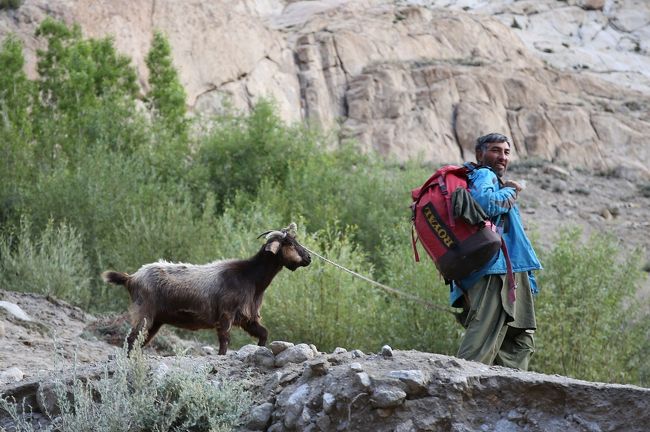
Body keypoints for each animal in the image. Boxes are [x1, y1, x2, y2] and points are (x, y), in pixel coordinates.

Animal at [102, 223, 312, 354]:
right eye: (290, 243)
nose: (309, 258)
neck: (250, 277)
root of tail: (131, 278)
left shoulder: (247, 318)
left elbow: (263, 334)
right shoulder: (226, 314)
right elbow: (225, 341)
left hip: (156, 320)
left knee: (139, 340)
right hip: (144, 312)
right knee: (132, 339)